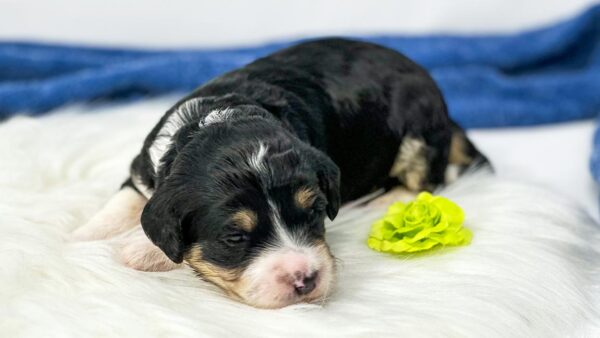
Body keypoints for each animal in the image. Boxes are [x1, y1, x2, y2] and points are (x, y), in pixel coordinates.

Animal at [74, 38, 488, 308]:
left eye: (315, 212)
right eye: (235, 238)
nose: (306, 279)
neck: (219, 119)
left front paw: (138, 249)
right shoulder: (142, 171)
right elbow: (124, 203)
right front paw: (81, 236)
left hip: (418, 133)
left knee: (426, 182)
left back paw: (377, 203)